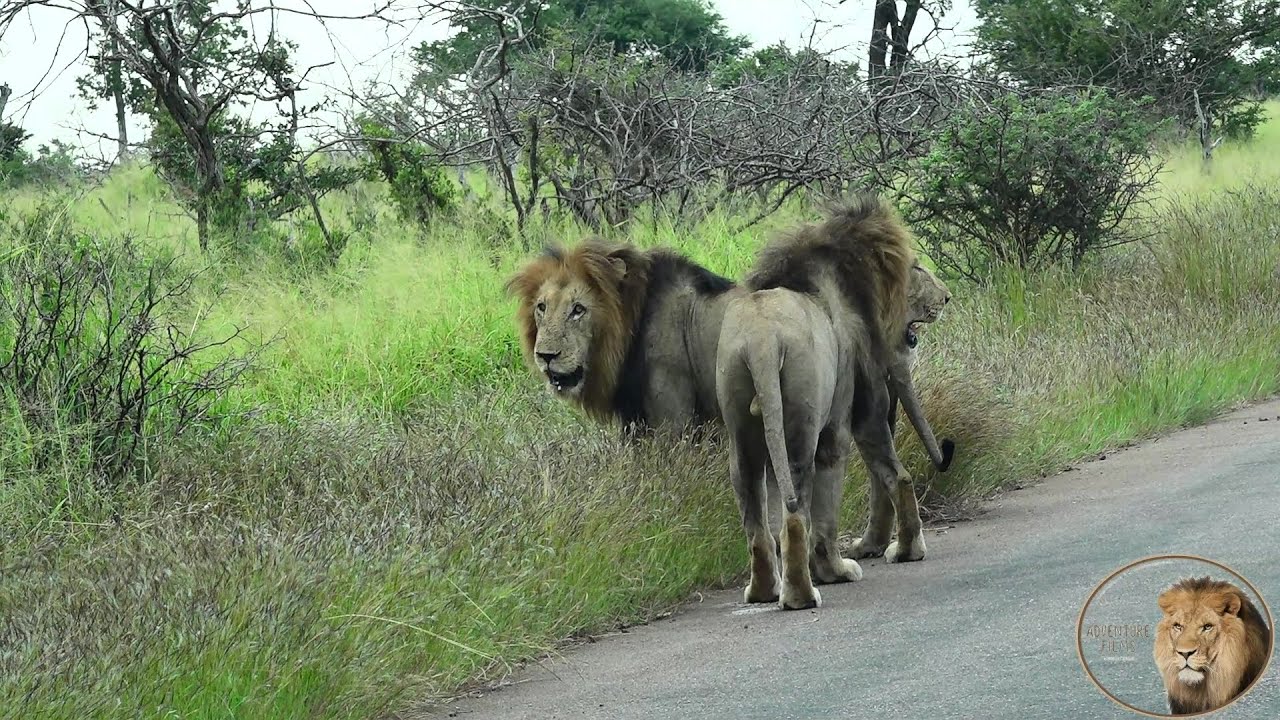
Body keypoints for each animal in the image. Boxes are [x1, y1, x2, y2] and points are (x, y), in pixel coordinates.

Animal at [715, 195, 934, 609]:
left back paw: (763, 591)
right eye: (913, 267)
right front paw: (840, 568)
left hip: (741, 420)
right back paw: (802, 593)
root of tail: (762, 339)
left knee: (756, 514)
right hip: (802, 416)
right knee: (796, 510)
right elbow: (849, 490)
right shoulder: (842, 413)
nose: (945, 296)